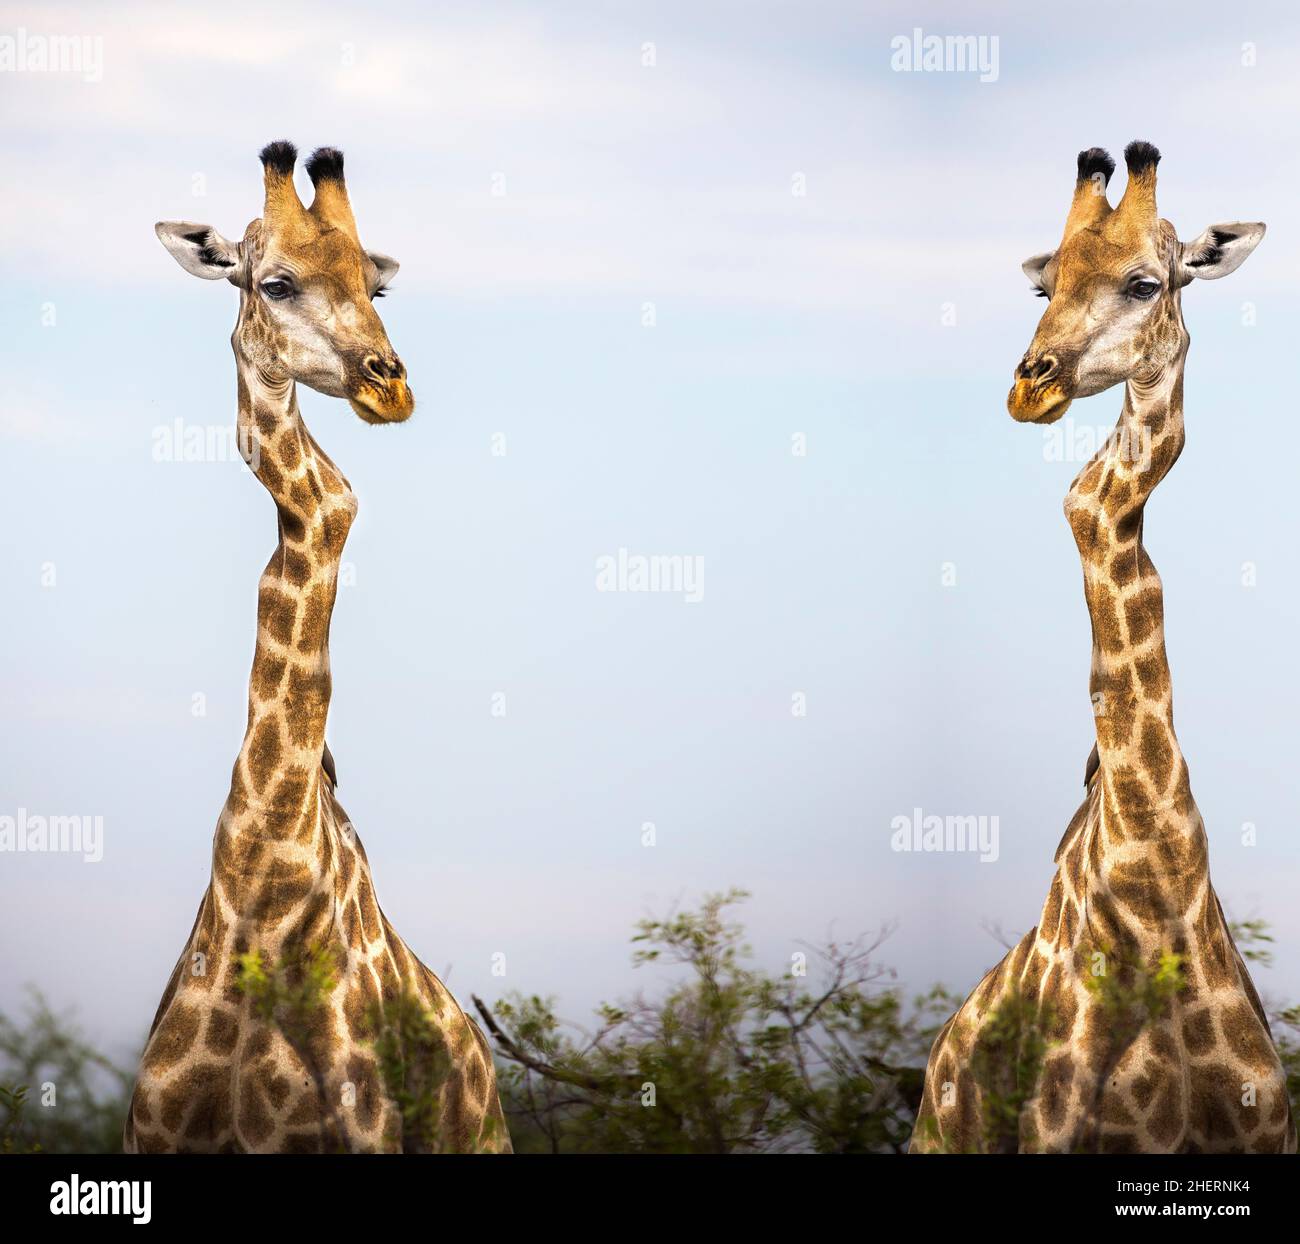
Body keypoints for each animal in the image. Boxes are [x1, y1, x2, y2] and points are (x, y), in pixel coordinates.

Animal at [123, 142, 510, 1153]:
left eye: (378, 284)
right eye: (276, 282)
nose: (390, 384)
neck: (262, 894)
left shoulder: (358, 1131)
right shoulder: (152, 1133)